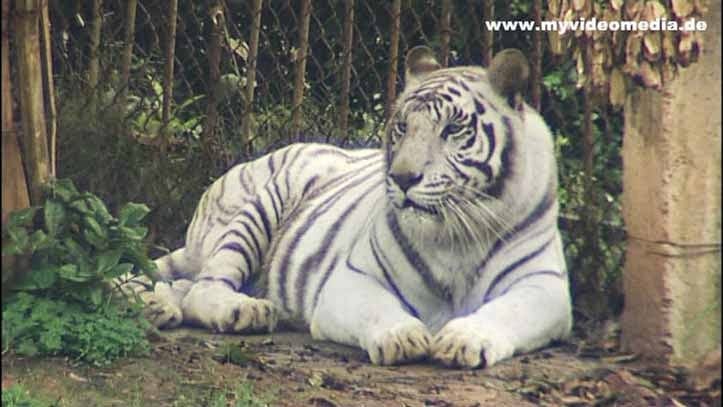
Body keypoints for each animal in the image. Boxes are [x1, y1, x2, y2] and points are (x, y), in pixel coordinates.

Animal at [128, 46, 572, 368]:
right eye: (402, 127)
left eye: (452, 129)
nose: (403, 177)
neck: (453, 235)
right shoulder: (350, 280)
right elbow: (379, 309)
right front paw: (402, 337)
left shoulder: (544, 286)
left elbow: (506, 311)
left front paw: (464, 340)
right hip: (257, 211)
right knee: (203, 288)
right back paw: (241, 311)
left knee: (184, 286)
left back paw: (156, 307)